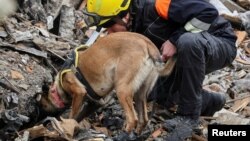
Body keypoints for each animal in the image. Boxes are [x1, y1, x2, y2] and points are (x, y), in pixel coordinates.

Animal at [38, 31, 177, 133]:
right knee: (143, 119)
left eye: (43, 105)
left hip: (122, 90)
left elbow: (73, 114)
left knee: (133, 119)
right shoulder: (94, 103)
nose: (41, 118)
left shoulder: (79, 92)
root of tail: (148, 44)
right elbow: (80, 115)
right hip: (140, 93)